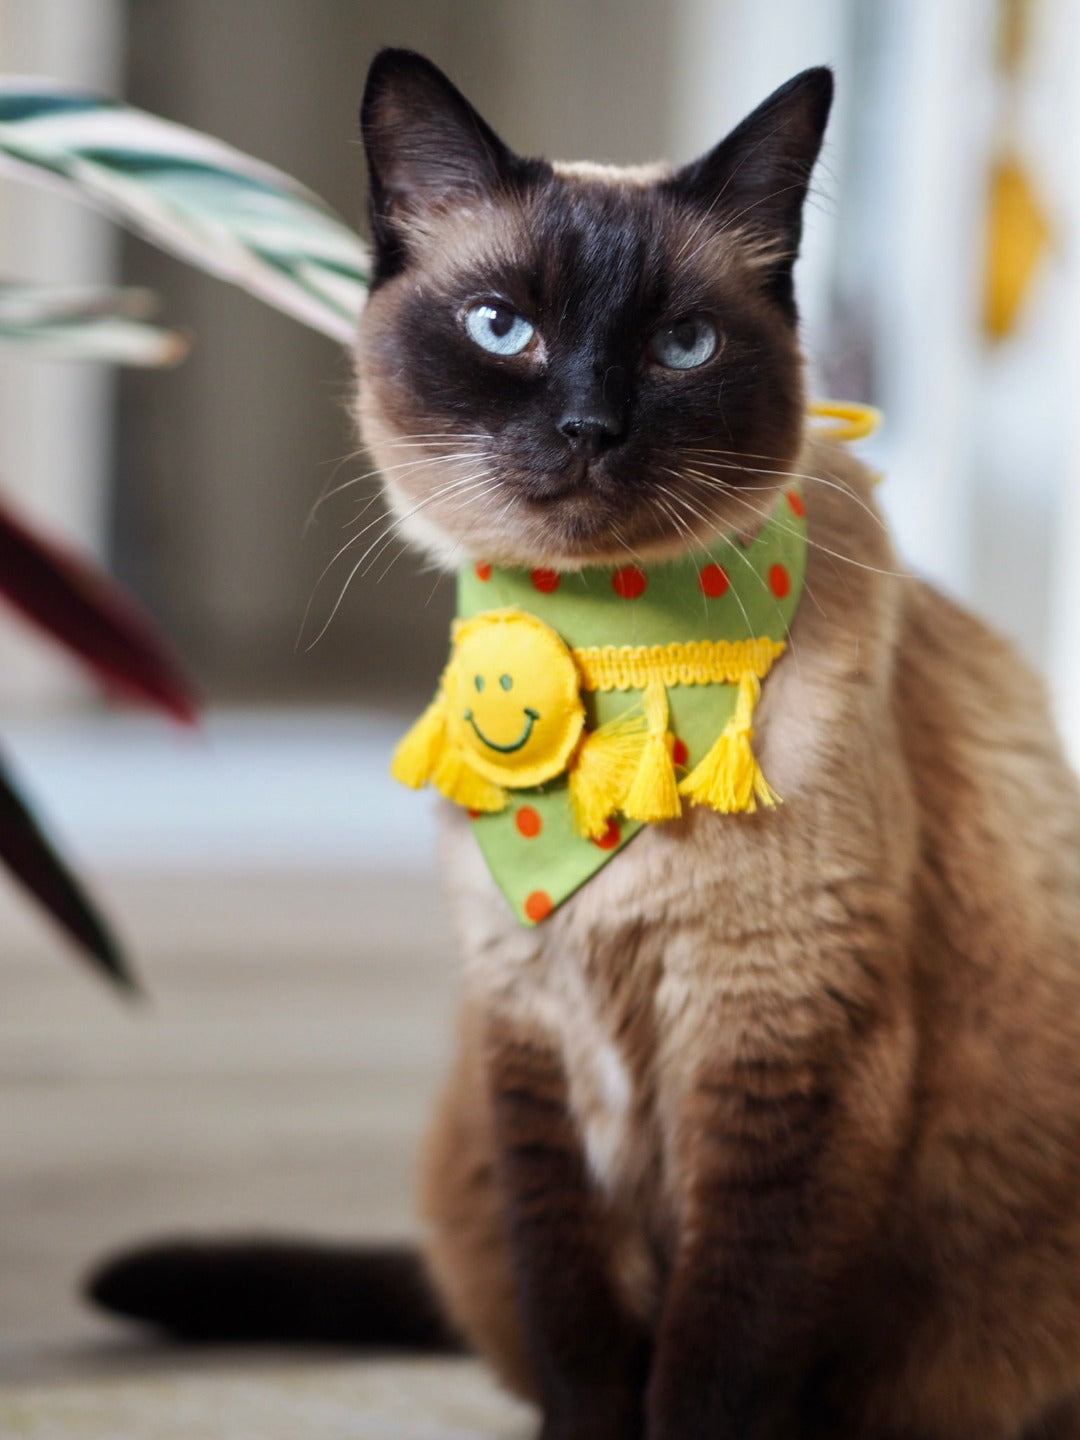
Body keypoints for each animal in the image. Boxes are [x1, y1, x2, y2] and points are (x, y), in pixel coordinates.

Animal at [86, 45, 1080, 1440]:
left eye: (681, 346)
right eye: (504, 330)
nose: (590, 429)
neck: (616, 653)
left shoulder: (783, 1044)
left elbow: (722, 1348)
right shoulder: (533, 1037)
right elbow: (574, 1322)